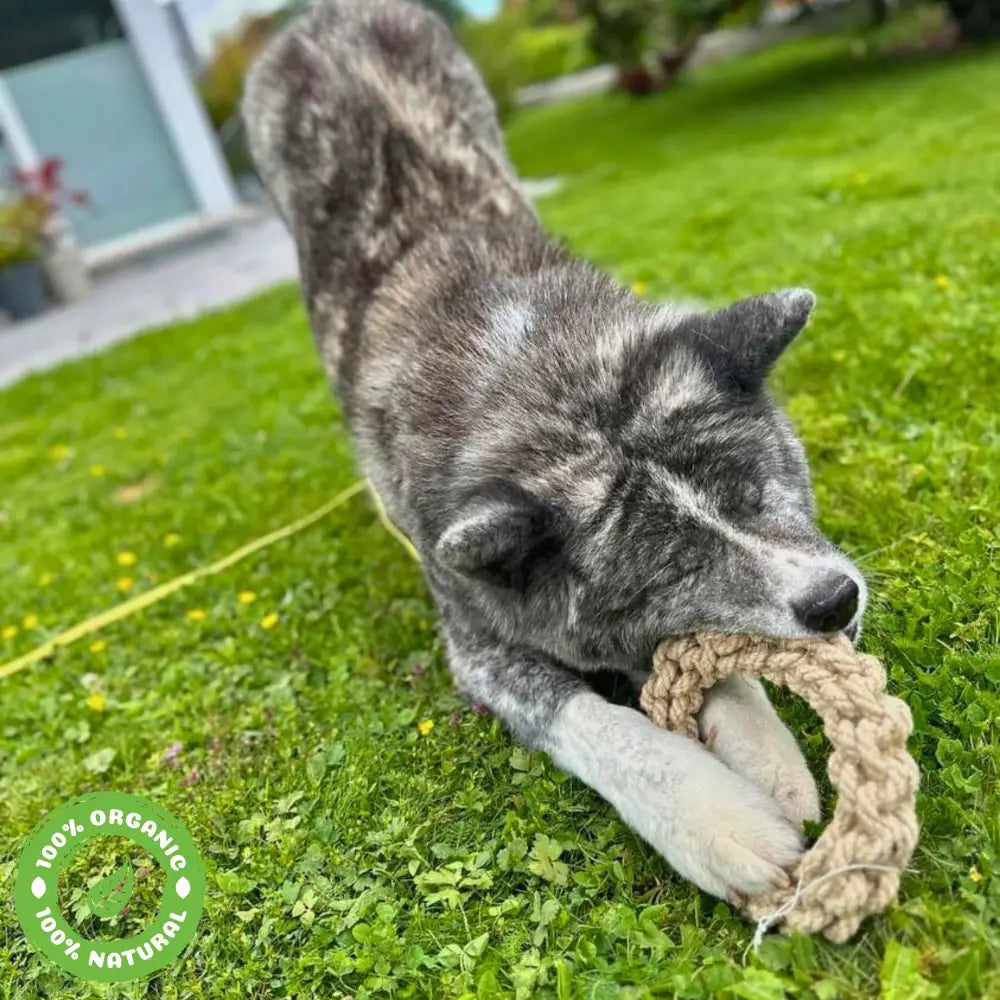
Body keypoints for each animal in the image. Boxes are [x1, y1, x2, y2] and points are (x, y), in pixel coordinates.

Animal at [244, 0, 868, 900]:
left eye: (761, 493)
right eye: (673, 566)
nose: (836, 601)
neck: (539, 377)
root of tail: (319, 18)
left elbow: (709, 663)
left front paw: (766, 751)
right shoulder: (480, 646)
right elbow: (591, 720)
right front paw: (711, 817)